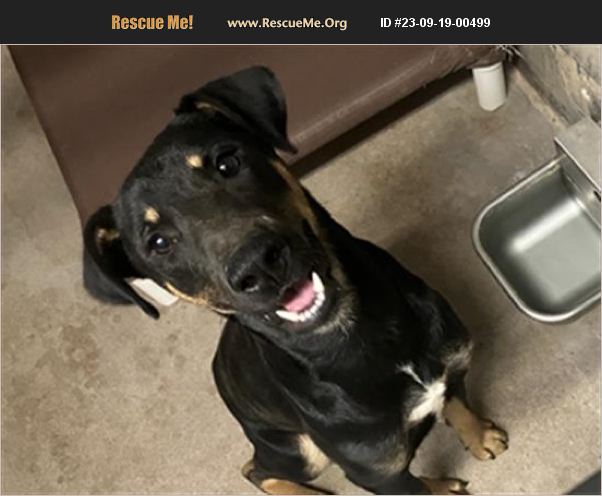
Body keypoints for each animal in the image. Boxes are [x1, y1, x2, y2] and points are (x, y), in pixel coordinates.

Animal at [83, 66, 508, 495]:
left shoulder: (451, 365)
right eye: (158, 243)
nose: (258, 264)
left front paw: (480, 436)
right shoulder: (379, 472)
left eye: (227, 162)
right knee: (256, 470)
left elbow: (456, 401)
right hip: (302, 450)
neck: (361, 339)